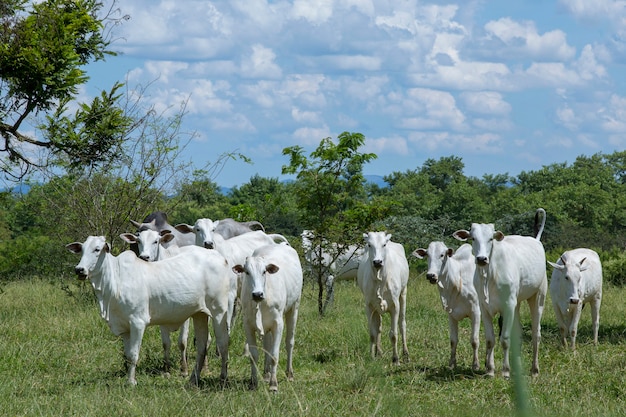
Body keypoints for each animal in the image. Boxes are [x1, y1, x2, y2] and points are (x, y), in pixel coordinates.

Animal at [66, 236, 232, 386]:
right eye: (82, 250)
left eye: (97, 249)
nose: (79, 270)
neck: (115, 281)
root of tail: (221, 258)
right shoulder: (124, 327)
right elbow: (127, 355)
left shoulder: (138, 322)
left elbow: (133, 354)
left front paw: (131, 382)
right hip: (200, 314)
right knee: (201, 347)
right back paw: (193, 379)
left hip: (219, 312)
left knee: (223, 344)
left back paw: (223, 379)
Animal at [233, 242, 304, 392]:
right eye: (247, 272)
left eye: (264, 271)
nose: (257, 294)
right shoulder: (248, 325)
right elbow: (254, 355)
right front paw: (253, 382)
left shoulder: (278, 324)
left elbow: (274, 355)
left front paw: (273, 384)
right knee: (267, 344)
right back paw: (266, 374)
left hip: (294, 308)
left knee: (289, 342)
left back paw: (289, 374)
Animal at [356, 231, 410, 364]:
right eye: (369, 245)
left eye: (384, 244)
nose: (377, 262)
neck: (380, 279)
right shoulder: (369, 306)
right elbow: (372, 333)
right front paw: (371, 356)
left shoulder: (395, 306)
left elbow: (393, 334)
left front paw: (395, 359)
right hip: (377, 307)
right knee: (378, 328)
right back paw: (378, 352)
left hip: (403, 293)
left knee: (402, 324)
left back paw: (406, 354)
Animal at [412, 240, 480, 370]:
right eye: (427, 255)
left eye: (442, 255)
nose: (431, 275)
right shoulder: (451, 314)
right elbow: (453, 340)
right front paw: (452, 364)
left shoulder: (476, 312)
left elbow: (474, 340)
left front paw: (475, 365)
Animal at [450, 208, 544, 376]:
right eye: (473, 238)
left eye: (490, 239)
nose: (481, 259)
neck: (490, 273)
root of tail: (536, 240)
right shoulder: (484, 308)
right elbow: (490, 340)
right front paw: (490, 369)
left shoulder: (508, 307)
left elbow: (505, 339)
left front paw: (505, 370)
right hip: (517, 304)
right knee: (519, 334)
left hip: (538, 297)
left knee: (536, 334)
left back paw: (534, 369)